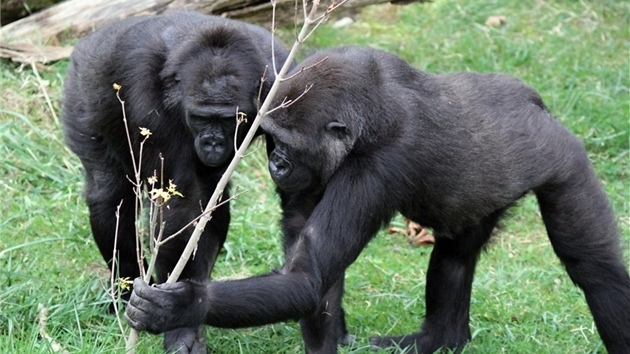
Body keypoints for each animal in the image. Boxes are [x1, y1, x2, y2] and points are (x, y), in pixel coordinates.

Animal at [61, 11, 292, 354]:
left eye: (228, 120)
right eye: (200, 117)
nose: (212, 143)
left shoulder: (286, 81)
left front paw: (184, 312)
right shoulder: (146, 97)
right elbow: (180, 205)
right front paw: (178, 322)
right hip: (81, 89)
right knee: (109, 195)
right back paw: (126, 291)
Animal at [124, 47, 630, 354]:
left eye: (286, 144)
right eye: (269, 140)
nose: (277, 165)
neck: (370, 115)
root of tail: (534, 103)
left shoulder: (378, 168)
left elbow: (308, 276)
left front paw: (182, 305)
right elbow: (311, 260)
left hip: (566, 162)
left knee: (596, 270)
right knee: (454, 257)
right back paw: (439, 338)